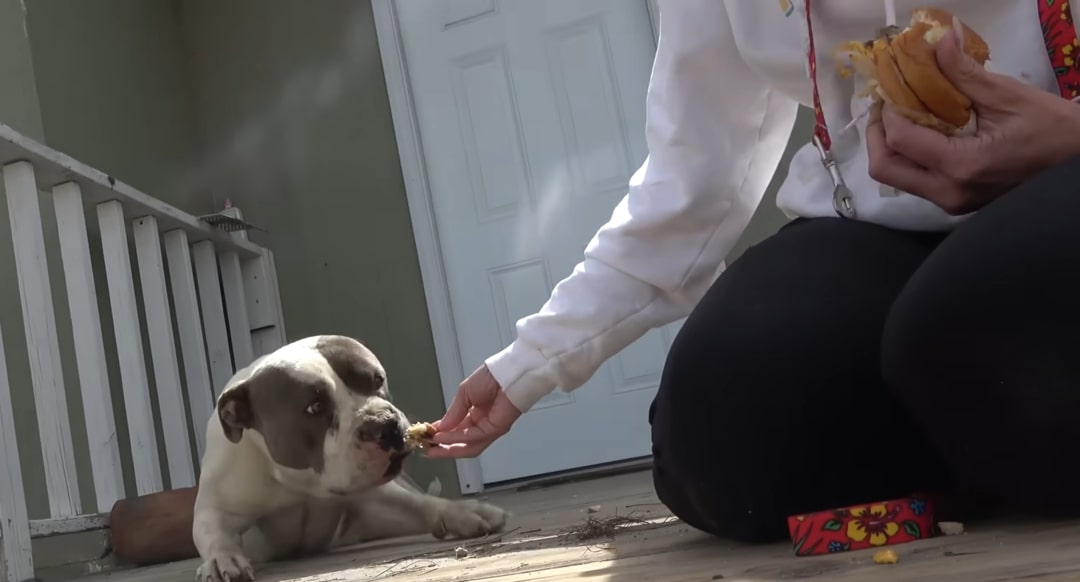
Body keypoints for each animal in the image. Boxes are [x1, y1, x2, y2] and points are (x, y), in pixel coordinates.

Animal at [193, 336, 505, 582]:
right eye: (315, 407)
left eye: (377, 379)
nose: (384, 424)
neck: (302, 482)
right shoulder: (218, 504)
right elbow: (212, 531)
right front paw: (222, 559)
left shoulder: (376, 495)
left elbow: (419, 503)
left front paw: (464, 512)